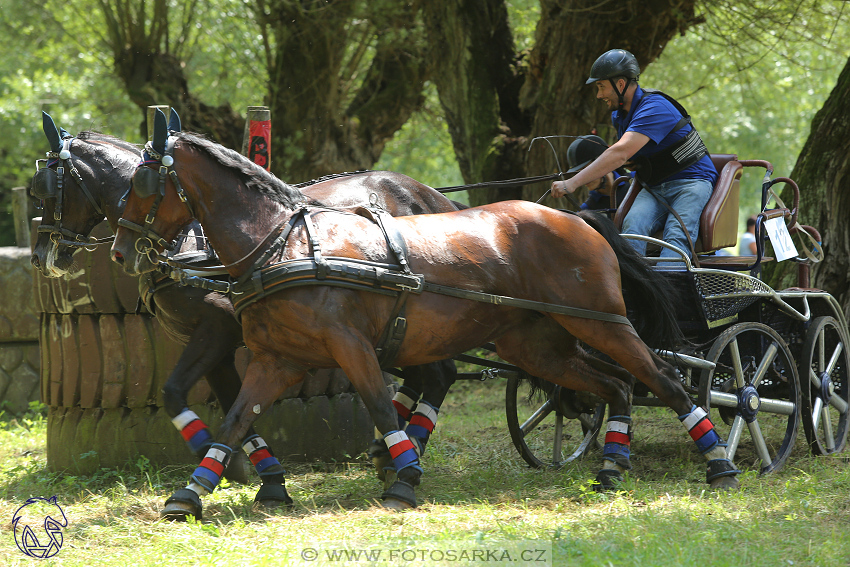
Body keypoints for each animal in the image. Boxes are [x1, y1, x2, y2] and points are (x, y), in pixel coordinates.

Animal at [29, 112, 460, 520]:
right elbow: (237, 407)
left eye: (45, 190)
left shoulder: (216, 331)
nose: (39, 257)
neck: (187, 240)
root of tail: (435, 198)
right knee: (431, 375)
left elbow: (174, 393)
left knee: (439, 374)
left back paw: (402, 455)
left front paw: (213, 453)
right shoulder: (217, 346)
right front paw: (266, 478)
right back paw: (393, 453)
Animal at [111, 110, 736, 516]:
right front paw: (192, 492)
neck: (280, 245)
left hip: (601, 322)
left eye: (142, 180)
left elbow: (378, 406)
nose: (119, 251)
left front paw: (404, 477)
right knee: (613, 386)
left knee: (664, 378)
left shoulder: (351, 347)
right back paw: (611, 465)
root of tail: (576, 217)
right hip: (538, 344)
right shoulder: (275, 359)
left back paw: (719, 463)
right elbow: (236, 420)